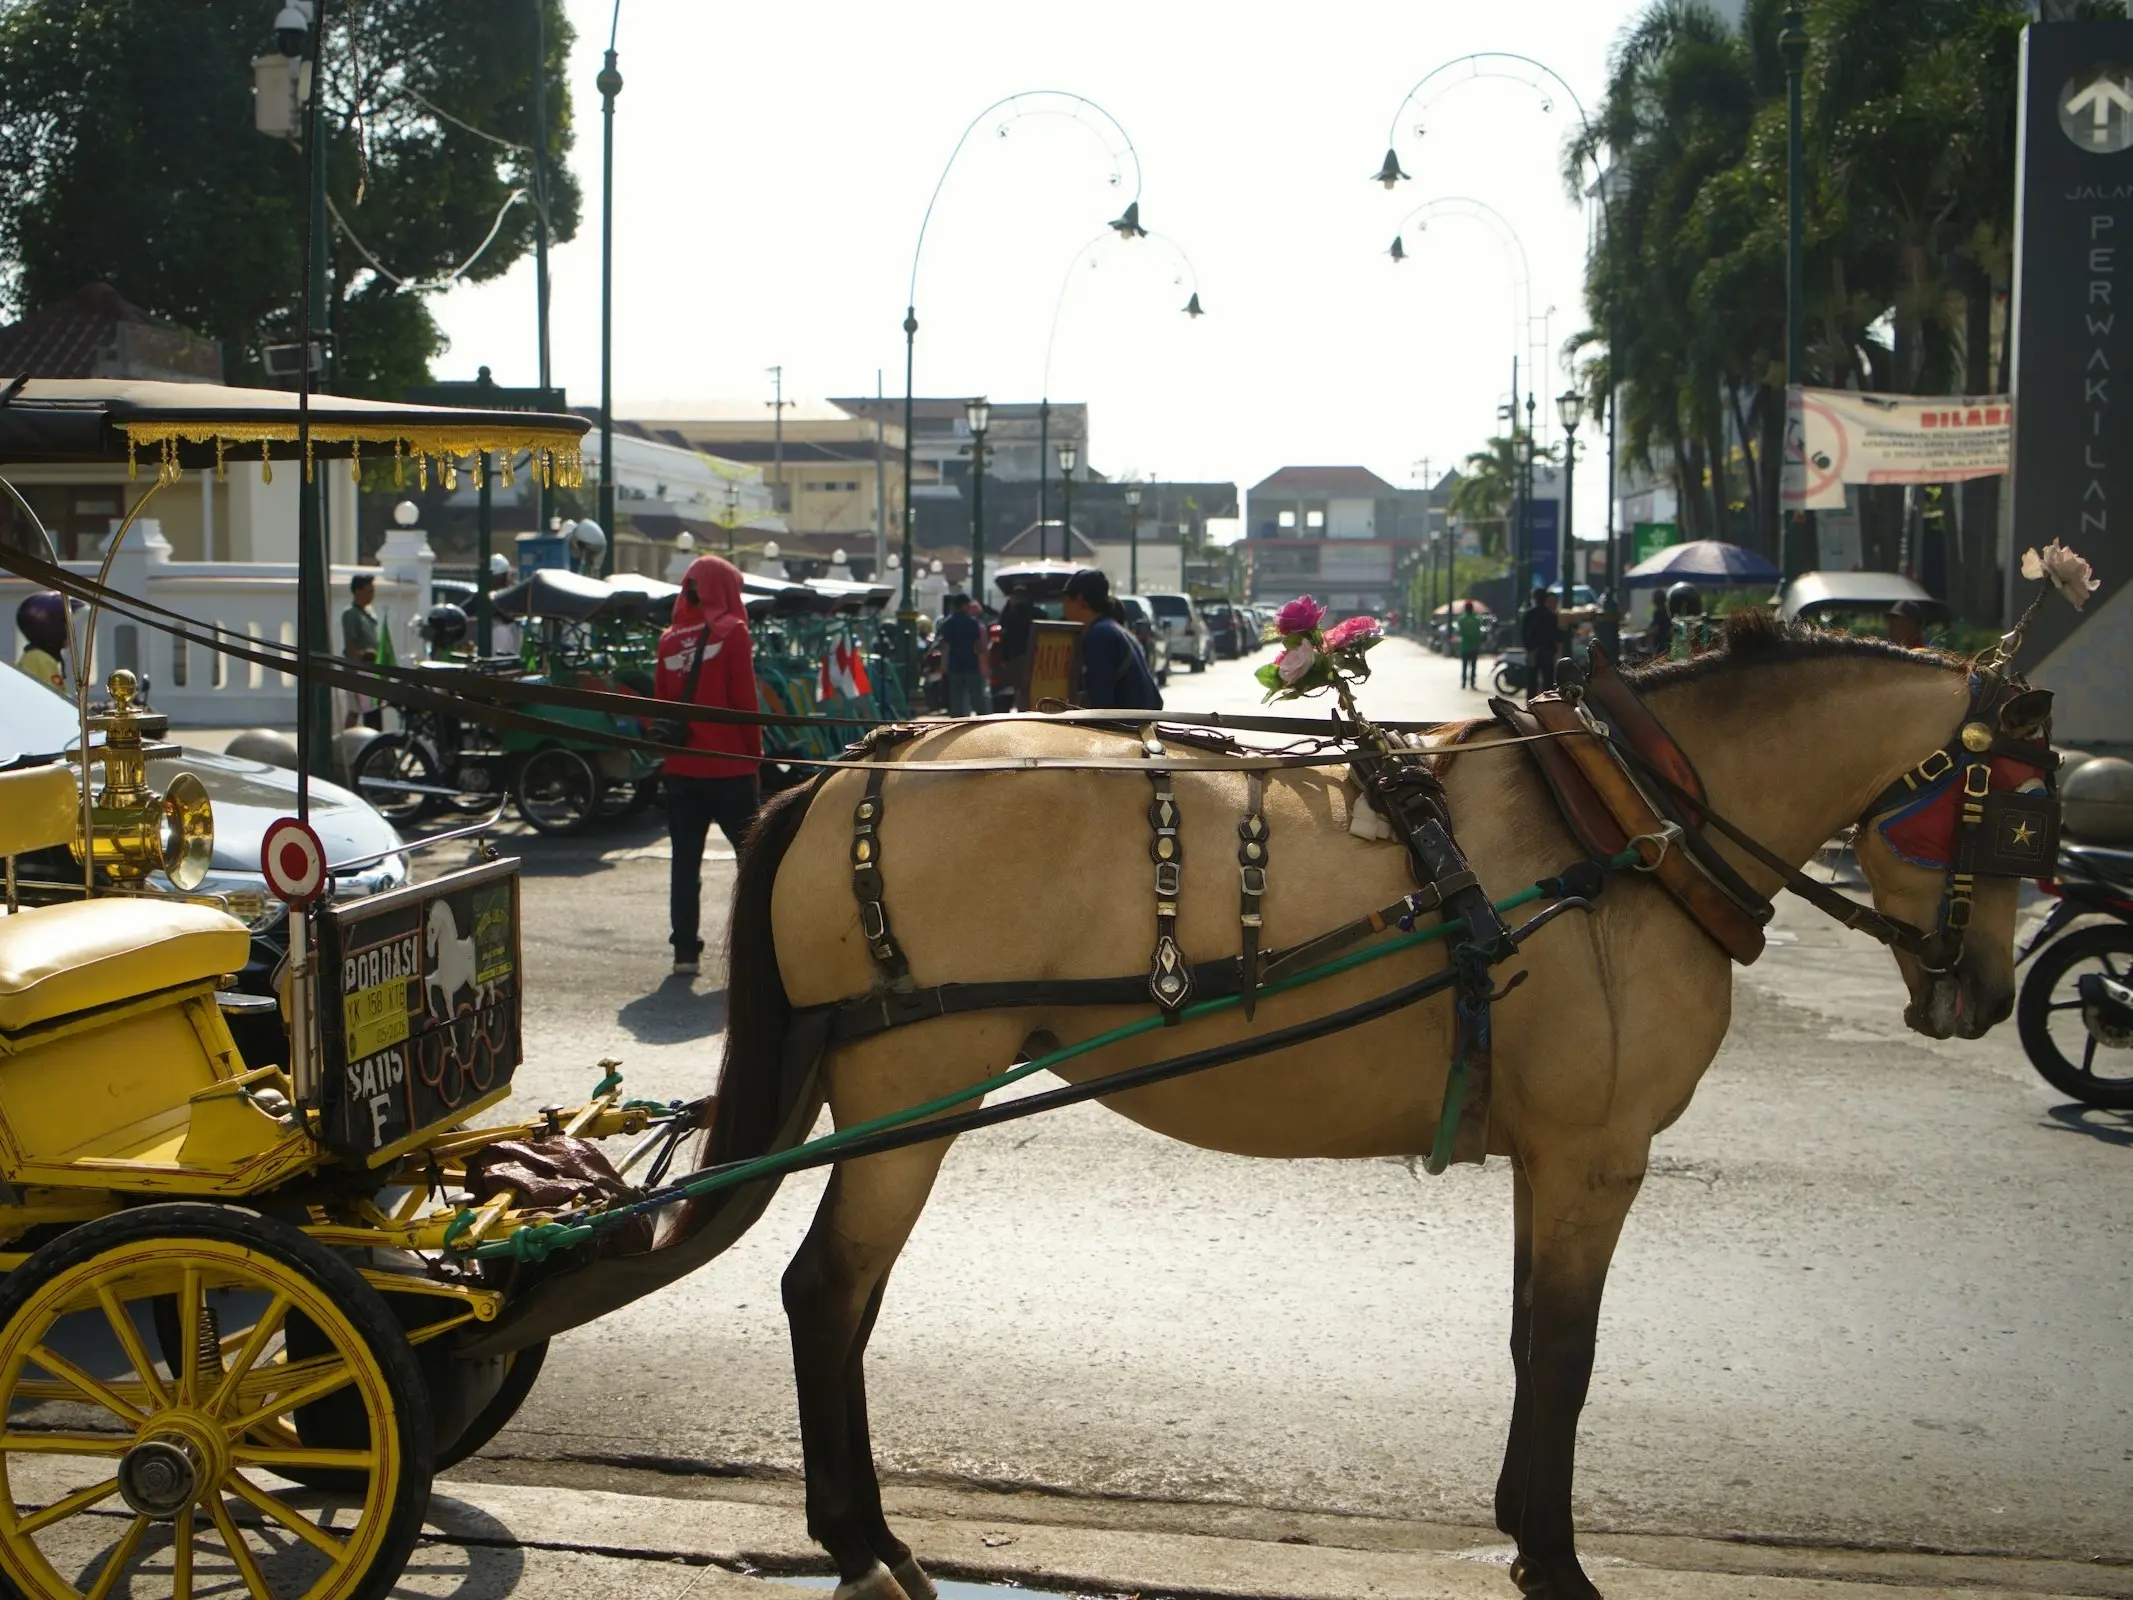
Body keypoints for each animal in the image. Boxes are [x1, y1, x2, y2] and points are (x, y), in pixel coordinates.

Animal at [695, 618, 2047, 1600]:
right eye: (2026, 817)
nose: (1989, 990)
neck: (1621, 826)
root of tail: (862, 762)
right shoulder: (1599, 1151)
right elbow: (1569, 1352)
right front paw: (1557, 1558)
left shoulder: (1551, 1154)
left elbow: (1529, 1340)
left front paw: (1522, 1526)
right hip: (916, 1085)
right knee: (827, 1292)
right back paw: (860, 1537)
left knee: (846, 1296)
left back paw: (868, 1533)